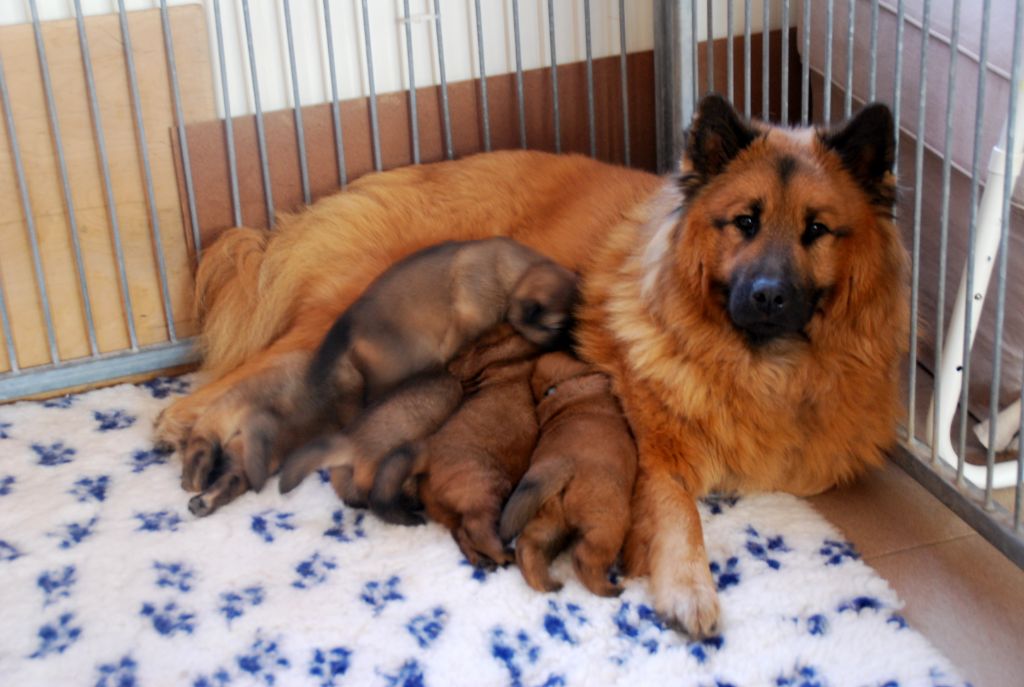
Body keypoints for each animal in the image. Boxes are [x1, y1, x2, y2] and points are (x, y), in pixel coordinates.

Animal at [370, 327, 544, 569]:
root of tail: (428, 452)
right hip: (486, 489)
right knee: (477, 530)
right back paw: (504, 554)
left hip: (450, 510)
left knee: (462, 533)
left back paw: (482, 560)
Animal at [499, 352, 634, 597]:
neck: (558, 387)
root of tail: (560, 466)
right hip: (607, 523)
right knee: (584, 558)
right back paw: (610, 588)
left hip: (549, 521)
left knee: (527, 547)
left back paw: (547, 584)